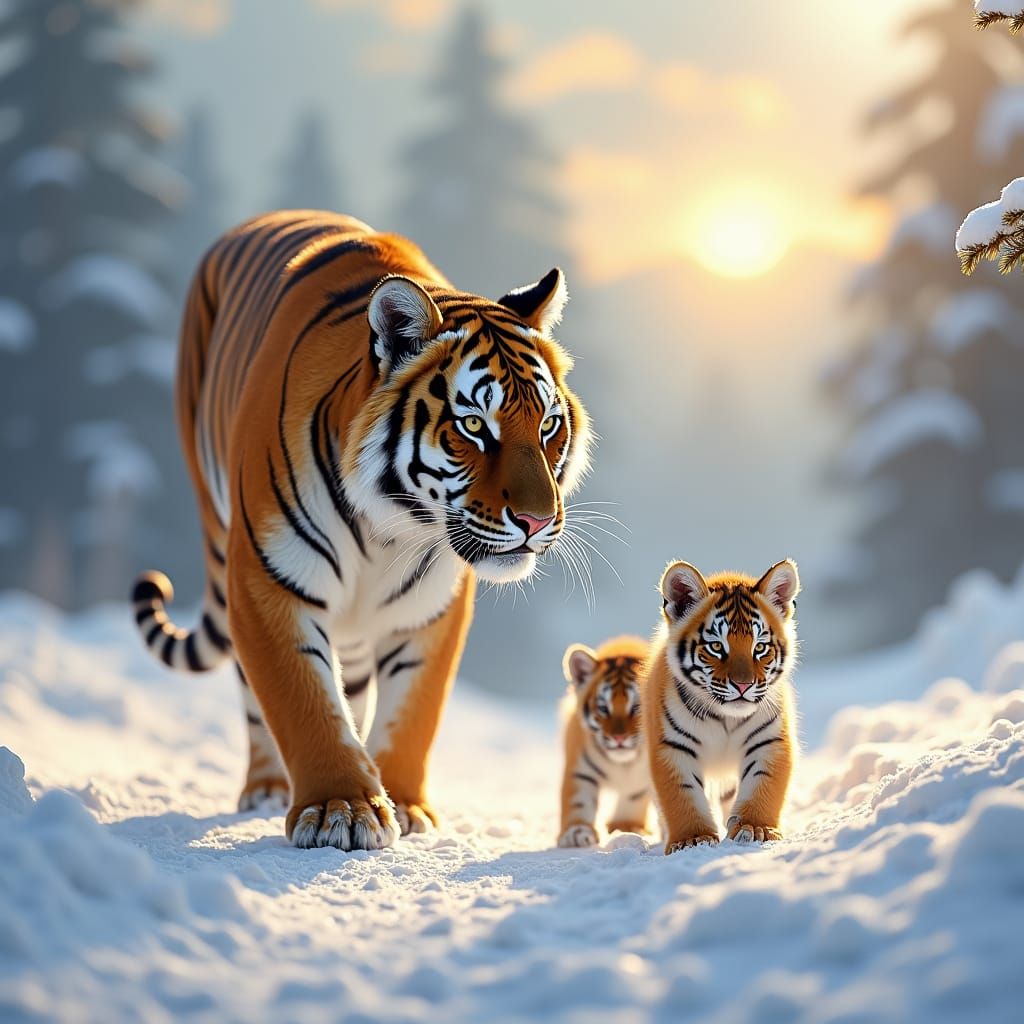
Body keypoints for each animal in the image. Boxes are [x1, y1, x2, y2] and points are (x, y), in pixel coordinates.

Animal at [131, 210, 592, 851]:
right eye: (474, 425)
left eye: (548, 425)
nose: (537, 520)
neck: (389, 528)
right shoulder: (267, 584)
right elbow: (304, 702)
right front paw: (340, 809)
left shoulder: (430, 607)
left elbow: (412, 712)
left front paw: (402, 803)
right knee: (256, 698)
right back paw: (266, 788)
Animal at [558, 636, 652, 848]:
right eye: (603, 708)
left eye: (637, 707)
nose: (619, 738)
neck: (623, 765)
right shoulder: (580, 771)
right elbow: (578, 801)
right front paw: (576, 833)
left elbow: (635, 798)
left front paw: (627, 827)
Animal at [644, 559, 800, 854]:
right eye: (716, 646)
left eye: (759, 648)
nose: (743, 685)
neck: (726, 718)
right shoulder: (673, 747)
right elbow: (682, 795)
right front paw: (692, 839)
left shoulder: (769, 741)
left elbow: (763, 783)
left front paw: (755, 828)